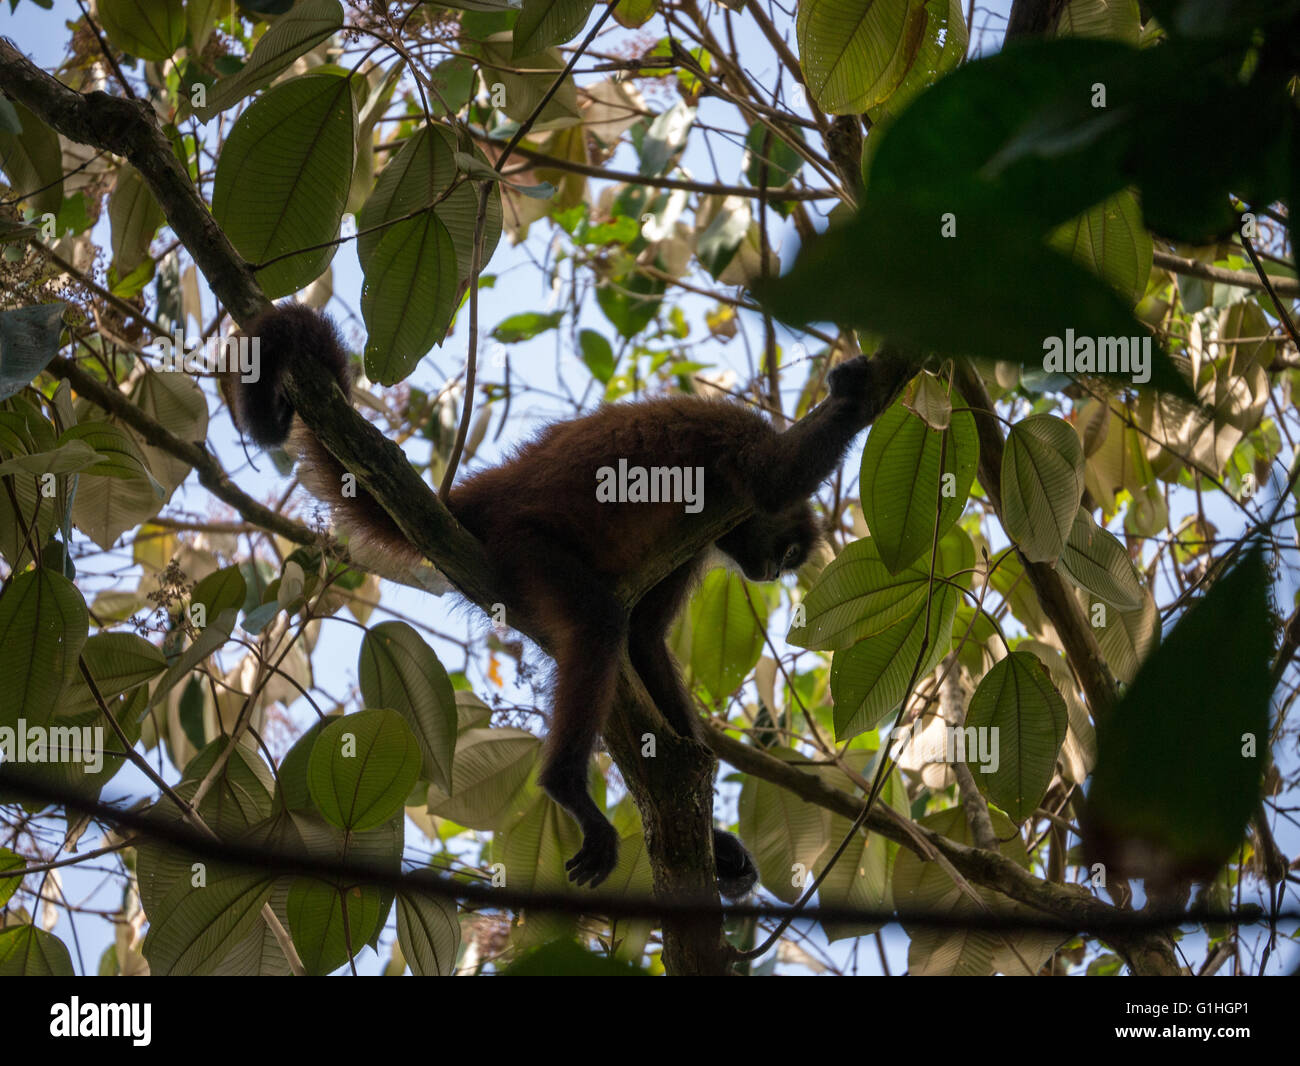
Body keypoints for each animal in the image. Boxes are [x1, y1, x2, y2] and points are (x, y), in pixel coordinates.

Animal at [231, 304, 915, 894]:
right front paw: (854, 392)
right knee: (597, 621)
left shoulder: (696, 544)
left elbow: (644, 640)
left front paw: (708, 815)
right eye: (791, 552)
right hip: (525, 546)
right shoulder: (727, 438)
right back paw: (566, 787)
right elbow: (775, 478)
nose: (772, 572)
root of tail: (491, 492)